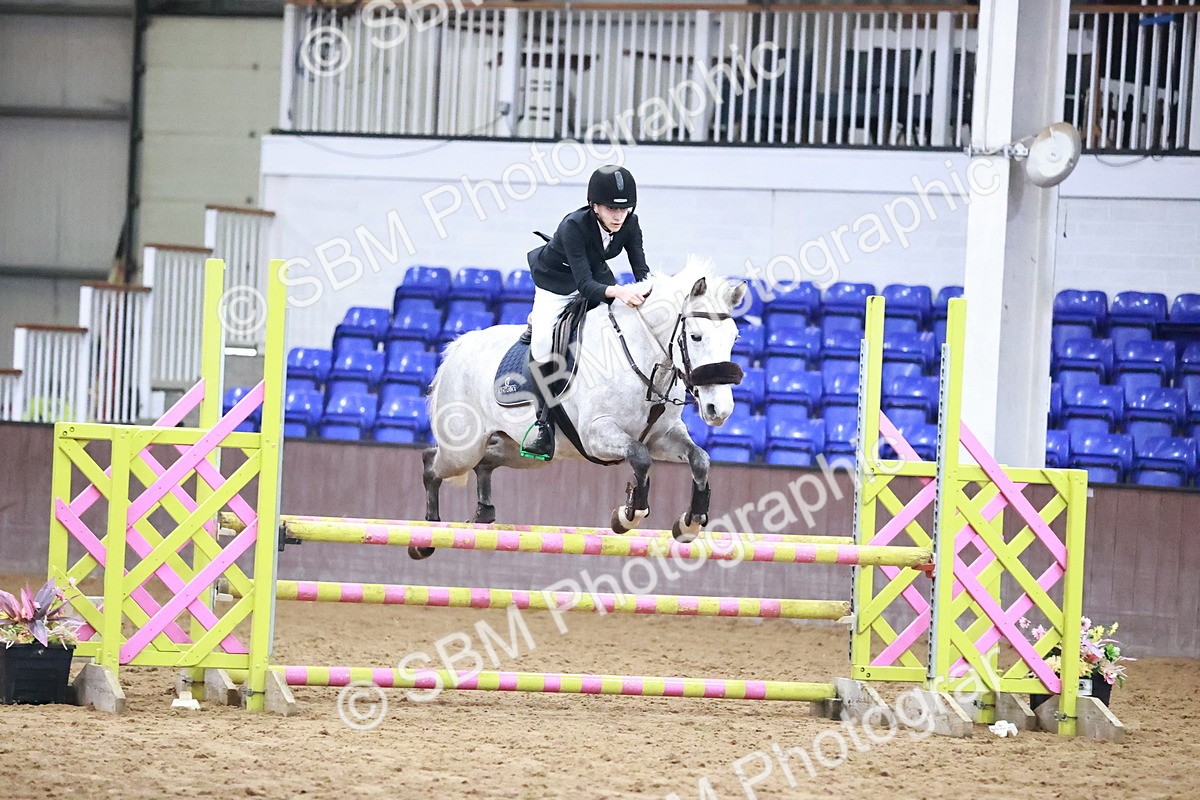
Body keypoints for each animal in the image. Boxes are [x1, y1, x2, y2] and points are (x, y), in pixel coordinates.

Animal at [418, 256, 747, 559]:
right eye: (695, 336)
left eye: (734, 337)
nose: (720, 410)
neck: (643, 358)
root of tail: (459, 346)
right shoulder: (596, 434)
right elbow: (639, 458)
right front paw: (627, 516)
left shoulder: (661, 437)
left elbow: (699, 459)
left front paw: (689, 523)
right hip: (462, 448)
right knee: (433, 463)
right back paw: (427, 535)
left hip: (523, 452)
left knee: (486, 461)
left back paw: (482, 513)